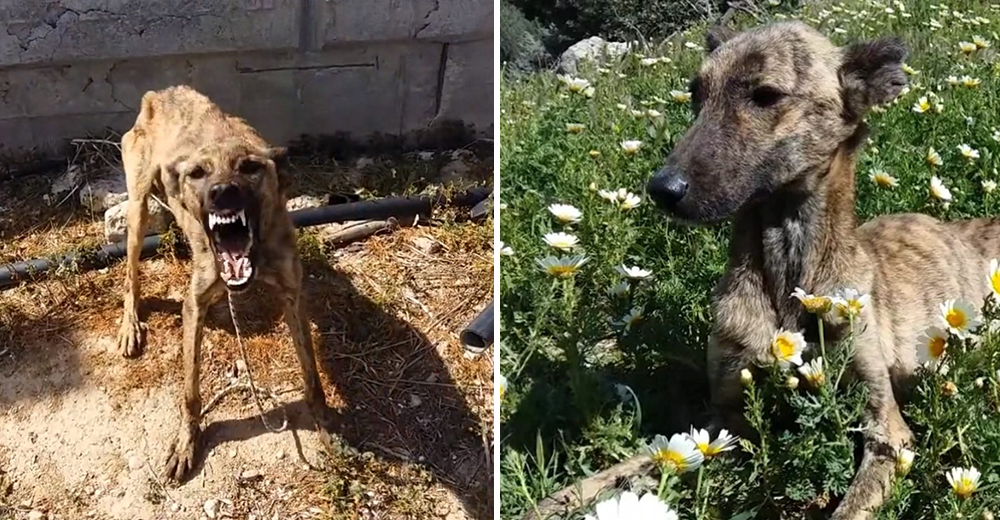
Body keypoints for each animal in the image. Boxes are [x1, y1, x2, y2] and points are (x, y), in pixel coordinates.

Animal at [113, 85, 332, 480]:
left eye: (250, 167)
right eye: (198, 173)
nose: (221, 192)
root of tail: (159, 93)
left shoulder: (293, 297)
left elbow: (311, 374)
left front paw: (324, 424)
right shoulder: (195, 305)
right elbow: (190, 391)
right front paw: (187, 441)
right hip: (137, 209)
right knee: (130, 275)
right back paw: (130, 324)